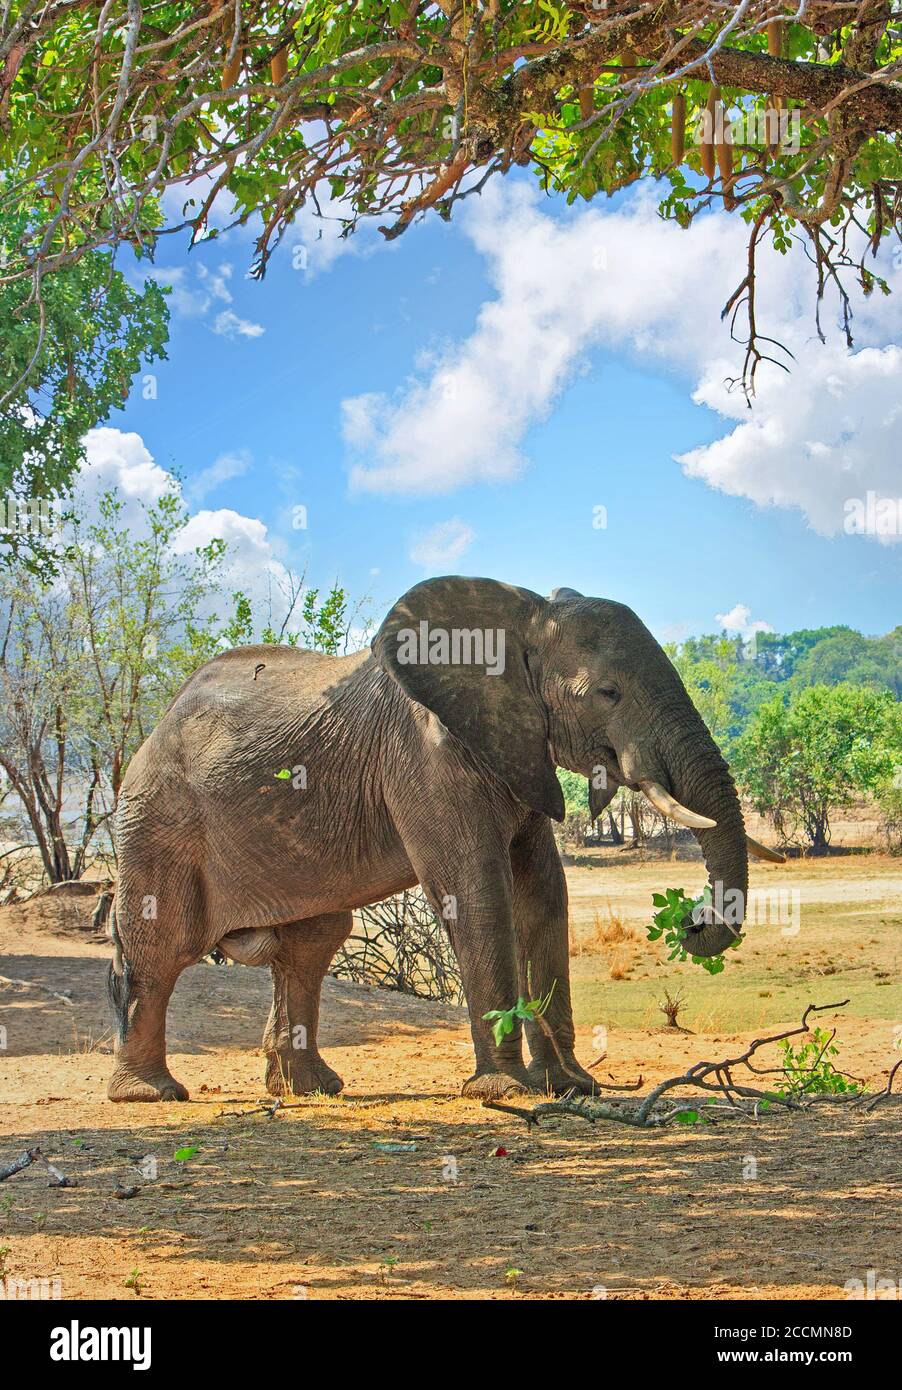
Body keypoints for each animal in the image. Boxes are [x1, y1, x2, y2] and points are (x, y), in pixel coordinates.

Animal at [107, 569, 778, 1100]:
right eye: (608, 693)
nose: (691, 922)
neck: (519, 620)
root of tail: (152, 731)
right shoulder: (424, 752)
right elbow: (477, 891)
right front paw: (506, 1091)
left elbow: (543, 891)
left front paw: (570, 1086)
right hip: (157, 818)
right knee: (160, 947)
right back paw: (151, 1095)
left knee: (311, 944)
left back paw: (310, 1089)